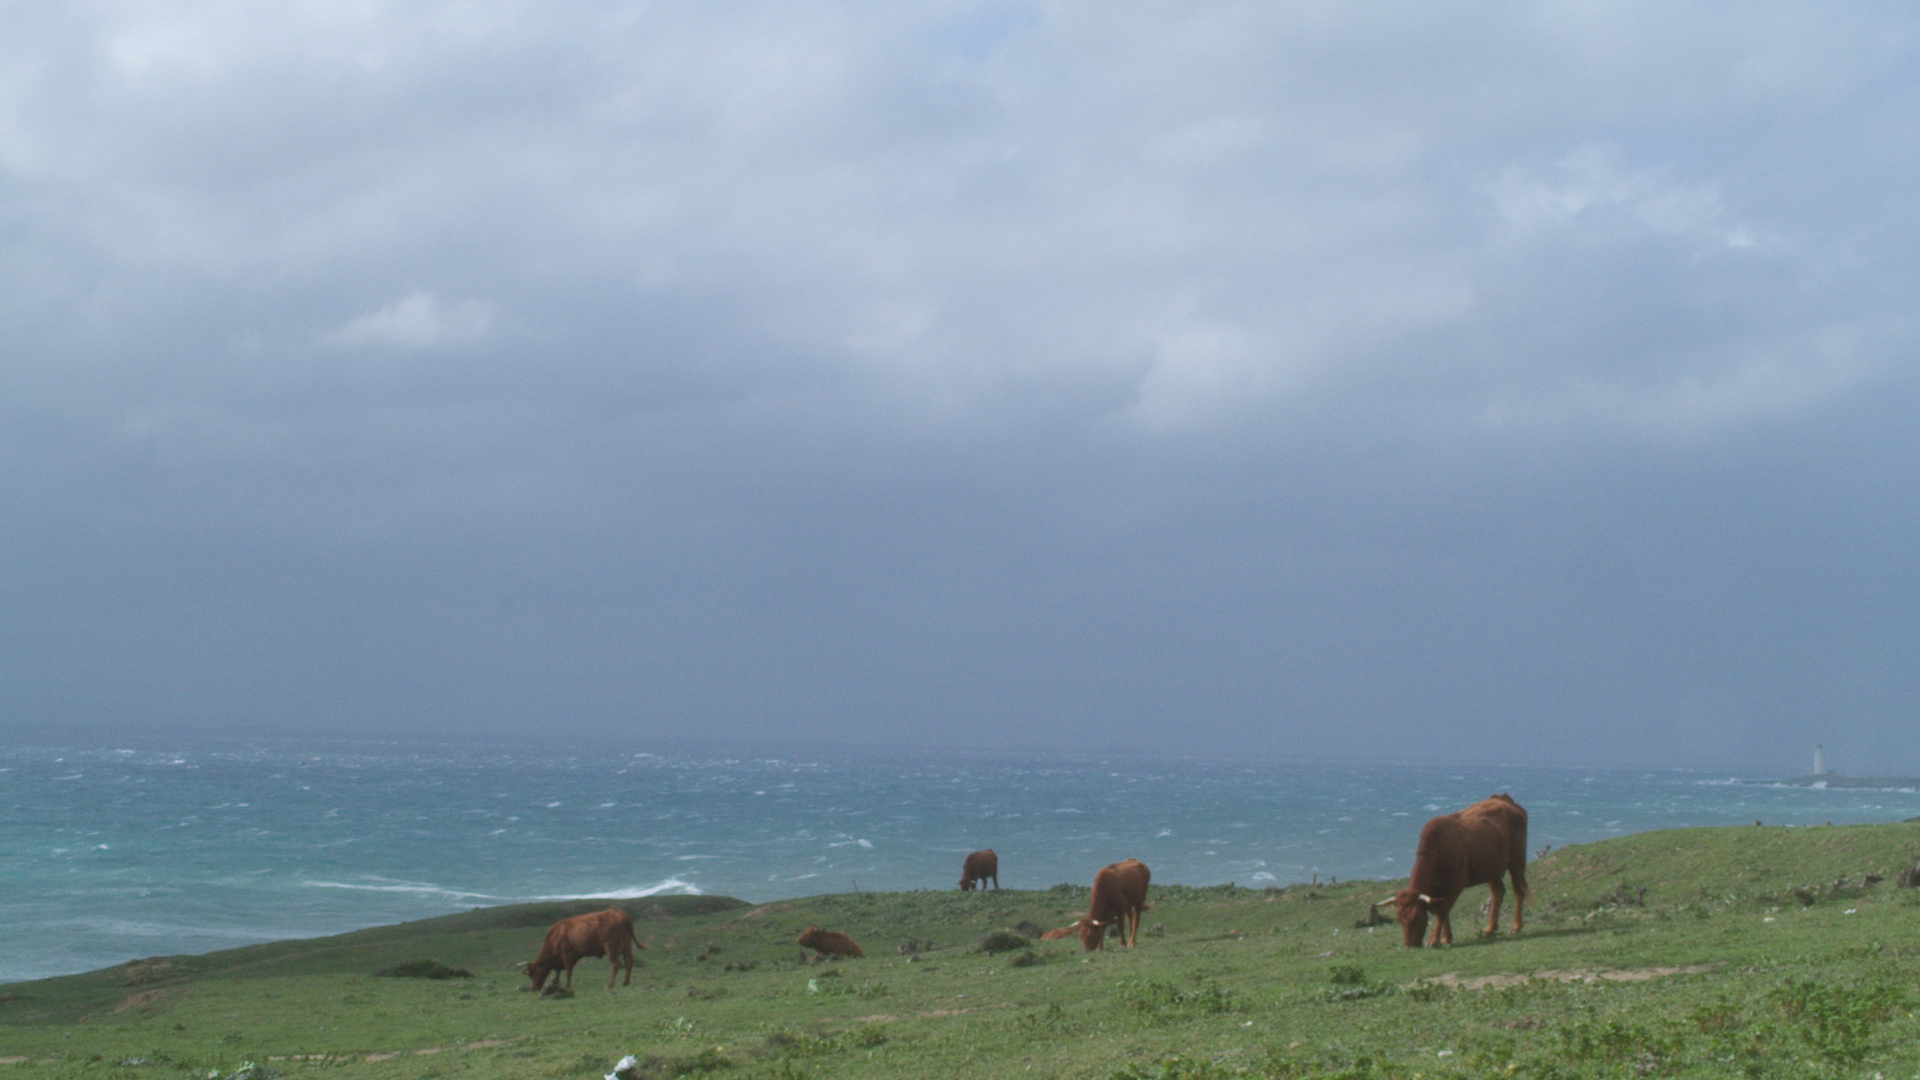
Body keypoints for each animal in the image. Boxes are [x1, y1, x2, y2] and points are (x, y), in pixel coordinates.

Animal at [1390, 791, 1536, 941]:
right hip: (1492, 868)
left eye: (1417, 918)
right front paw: (1446, 938)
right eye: (1399, 919)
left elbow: (1443, 910)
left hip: (1517, 861)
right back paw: (1489, 929)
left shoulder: (1457, 883)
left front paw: (1435, 940)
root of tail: (1504, 799)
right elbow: (1443, 911)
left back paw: (1516, 926)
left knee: (1519, 890)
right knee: (1498, 892)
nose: (1409, 944)